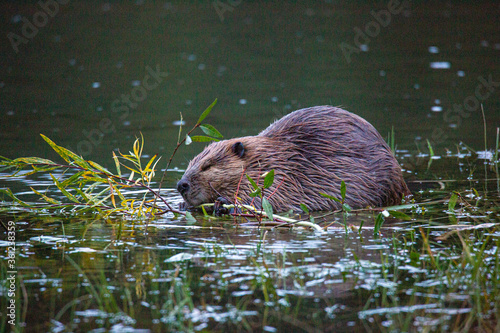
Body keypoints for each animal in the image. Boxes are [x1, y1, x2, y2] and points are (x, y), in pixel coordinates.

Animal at [176, 105, 410, 211]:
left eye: (207, 166)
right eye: (192, 163)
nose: (181, 185)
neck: (270, 159)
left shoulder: (282, 177)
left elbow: (268, 200)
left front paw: (224, 202)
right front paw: (183, 206)